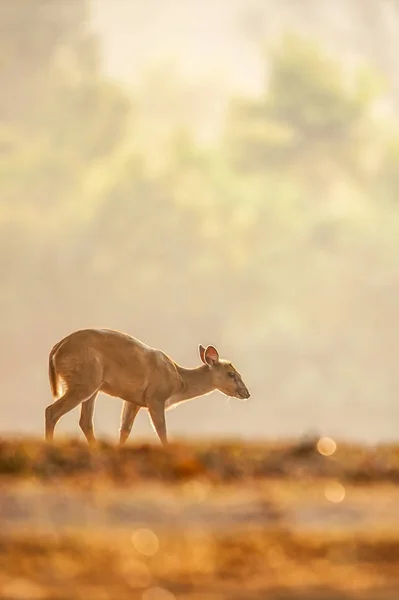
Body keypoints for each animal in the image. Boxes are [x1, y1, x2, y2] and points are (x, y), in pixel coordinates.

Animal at [45, 328, 252, 446]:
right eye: (231, 374)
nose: (246, 393)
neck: (179, 382)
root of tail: (56, 349)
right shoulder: (155, 396)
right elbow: (161, 429)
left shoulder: (134, 399)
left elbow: (125, 430)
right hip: (85, 380)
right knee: (51, 411)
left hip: (92, 386)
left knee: (85, 421)